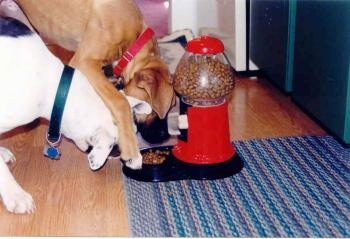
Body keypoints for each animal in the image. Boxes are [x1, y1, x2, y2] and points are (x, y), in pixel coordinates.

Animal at [13, 0, 175, 166]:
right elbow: (120, 102)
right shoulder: (85, 63)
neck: (133, 43)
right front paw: (131, 150)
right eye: (156, 111)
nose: (165, 137)